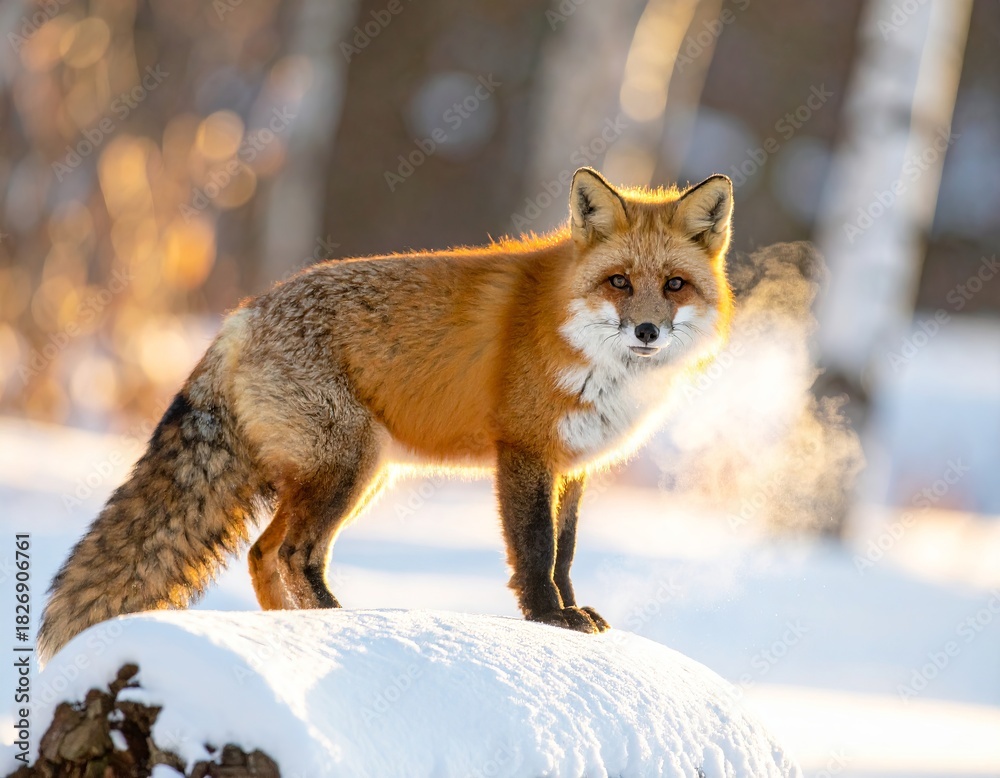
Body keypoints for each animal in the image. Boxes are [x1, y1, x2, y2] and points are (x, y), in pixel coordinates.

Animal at [38, 167, 734, 662]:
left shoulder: (572, 465)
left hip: (356, 475)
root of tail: (243, 314)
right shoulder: (524, 451)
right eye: (619, 282)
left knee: (263, 553)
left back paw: (292, 628)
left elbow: (564, 553)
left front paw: (569, 612)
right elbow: (535, 552)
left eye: (674, 285)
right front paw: (548, 619)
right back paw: (340, 622)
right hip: (350, 466)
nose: (646, 331)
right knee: (293, 554)